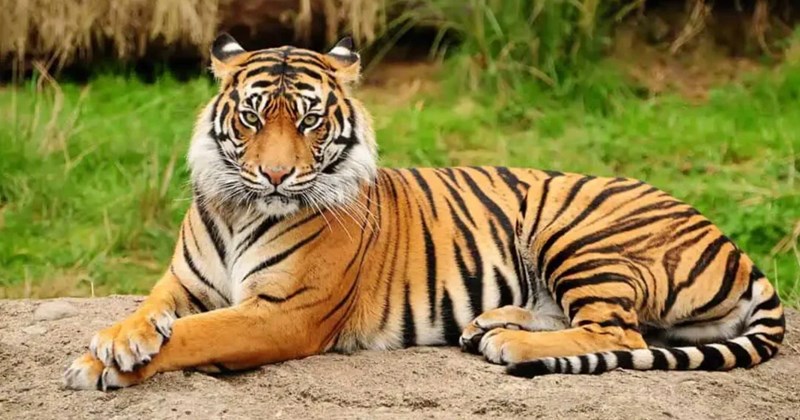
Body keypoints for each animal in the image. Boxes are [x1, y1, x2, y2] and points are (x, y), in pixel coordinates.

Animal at [63, 33, 785, 390]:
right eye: (252, 117)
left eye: (309, 120)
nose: (275, 174)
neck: (243, 209)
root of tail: (733, 242)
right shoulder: (182, 282)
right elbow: (151, 313)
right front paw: (115, 341)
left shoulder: (284, 312)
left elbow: (197, 335)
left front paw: (103, 365)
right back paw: (490, 324)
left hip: (579, 232)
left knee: (621, 334)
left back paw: (510, 342)